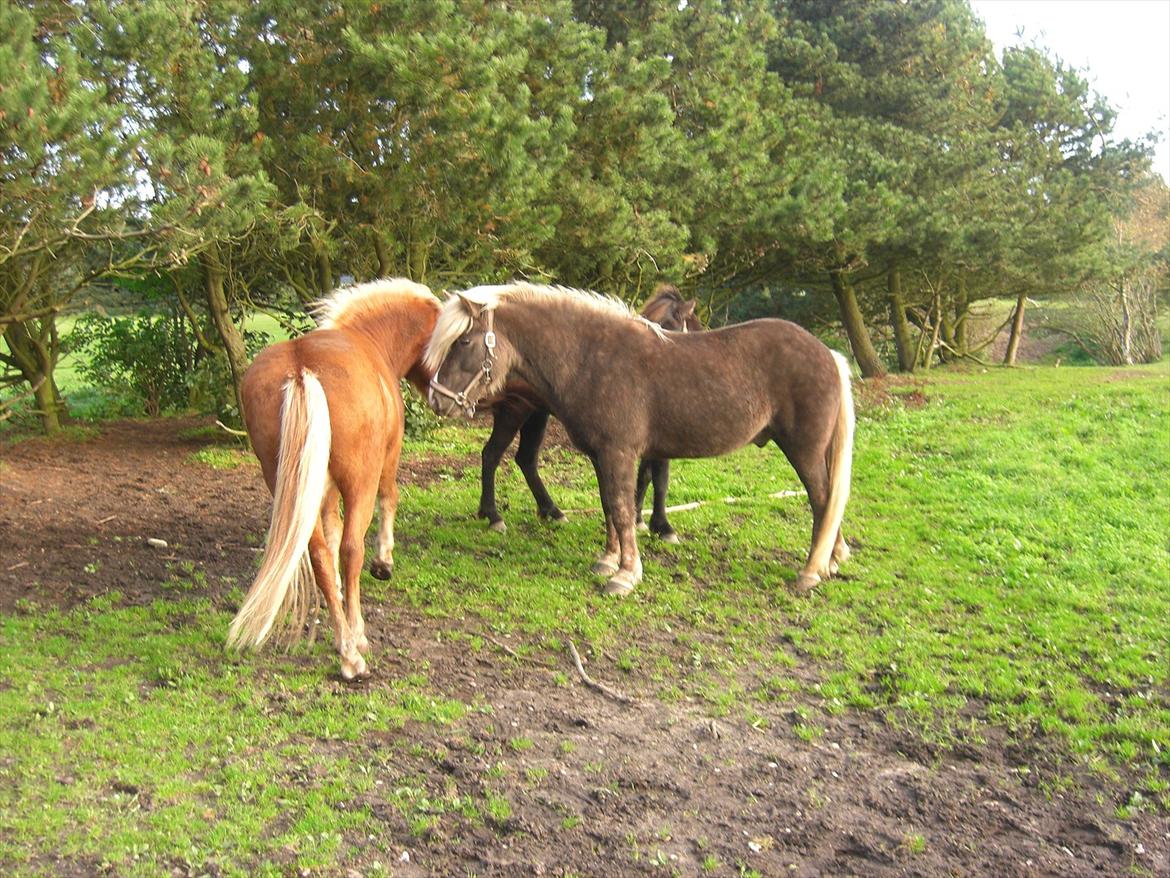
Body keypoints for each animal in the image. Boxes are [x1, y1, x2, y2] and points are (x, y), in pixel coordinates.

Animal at [226, 278, 439, 678]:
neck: (370, 338)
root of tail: (302, 368)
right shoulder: (386, 461)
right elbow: (390, 499)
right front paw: (384, 562)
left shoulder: (321, 490)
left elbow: (331, 529)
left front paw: (337, 595)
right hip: (359, 482)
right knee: (350, 549)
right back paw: (353, 647)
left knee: (320, 554)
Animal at [470, 285, 697, 540]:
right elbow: (659, 476)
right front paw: (661, 525)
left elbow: (647, 474)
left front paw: (639, 518)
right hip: (514, 412)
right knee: (492, 455)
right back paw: (494, 515)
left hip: (536, 414)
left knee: (525, 459)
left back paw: (550, 511)